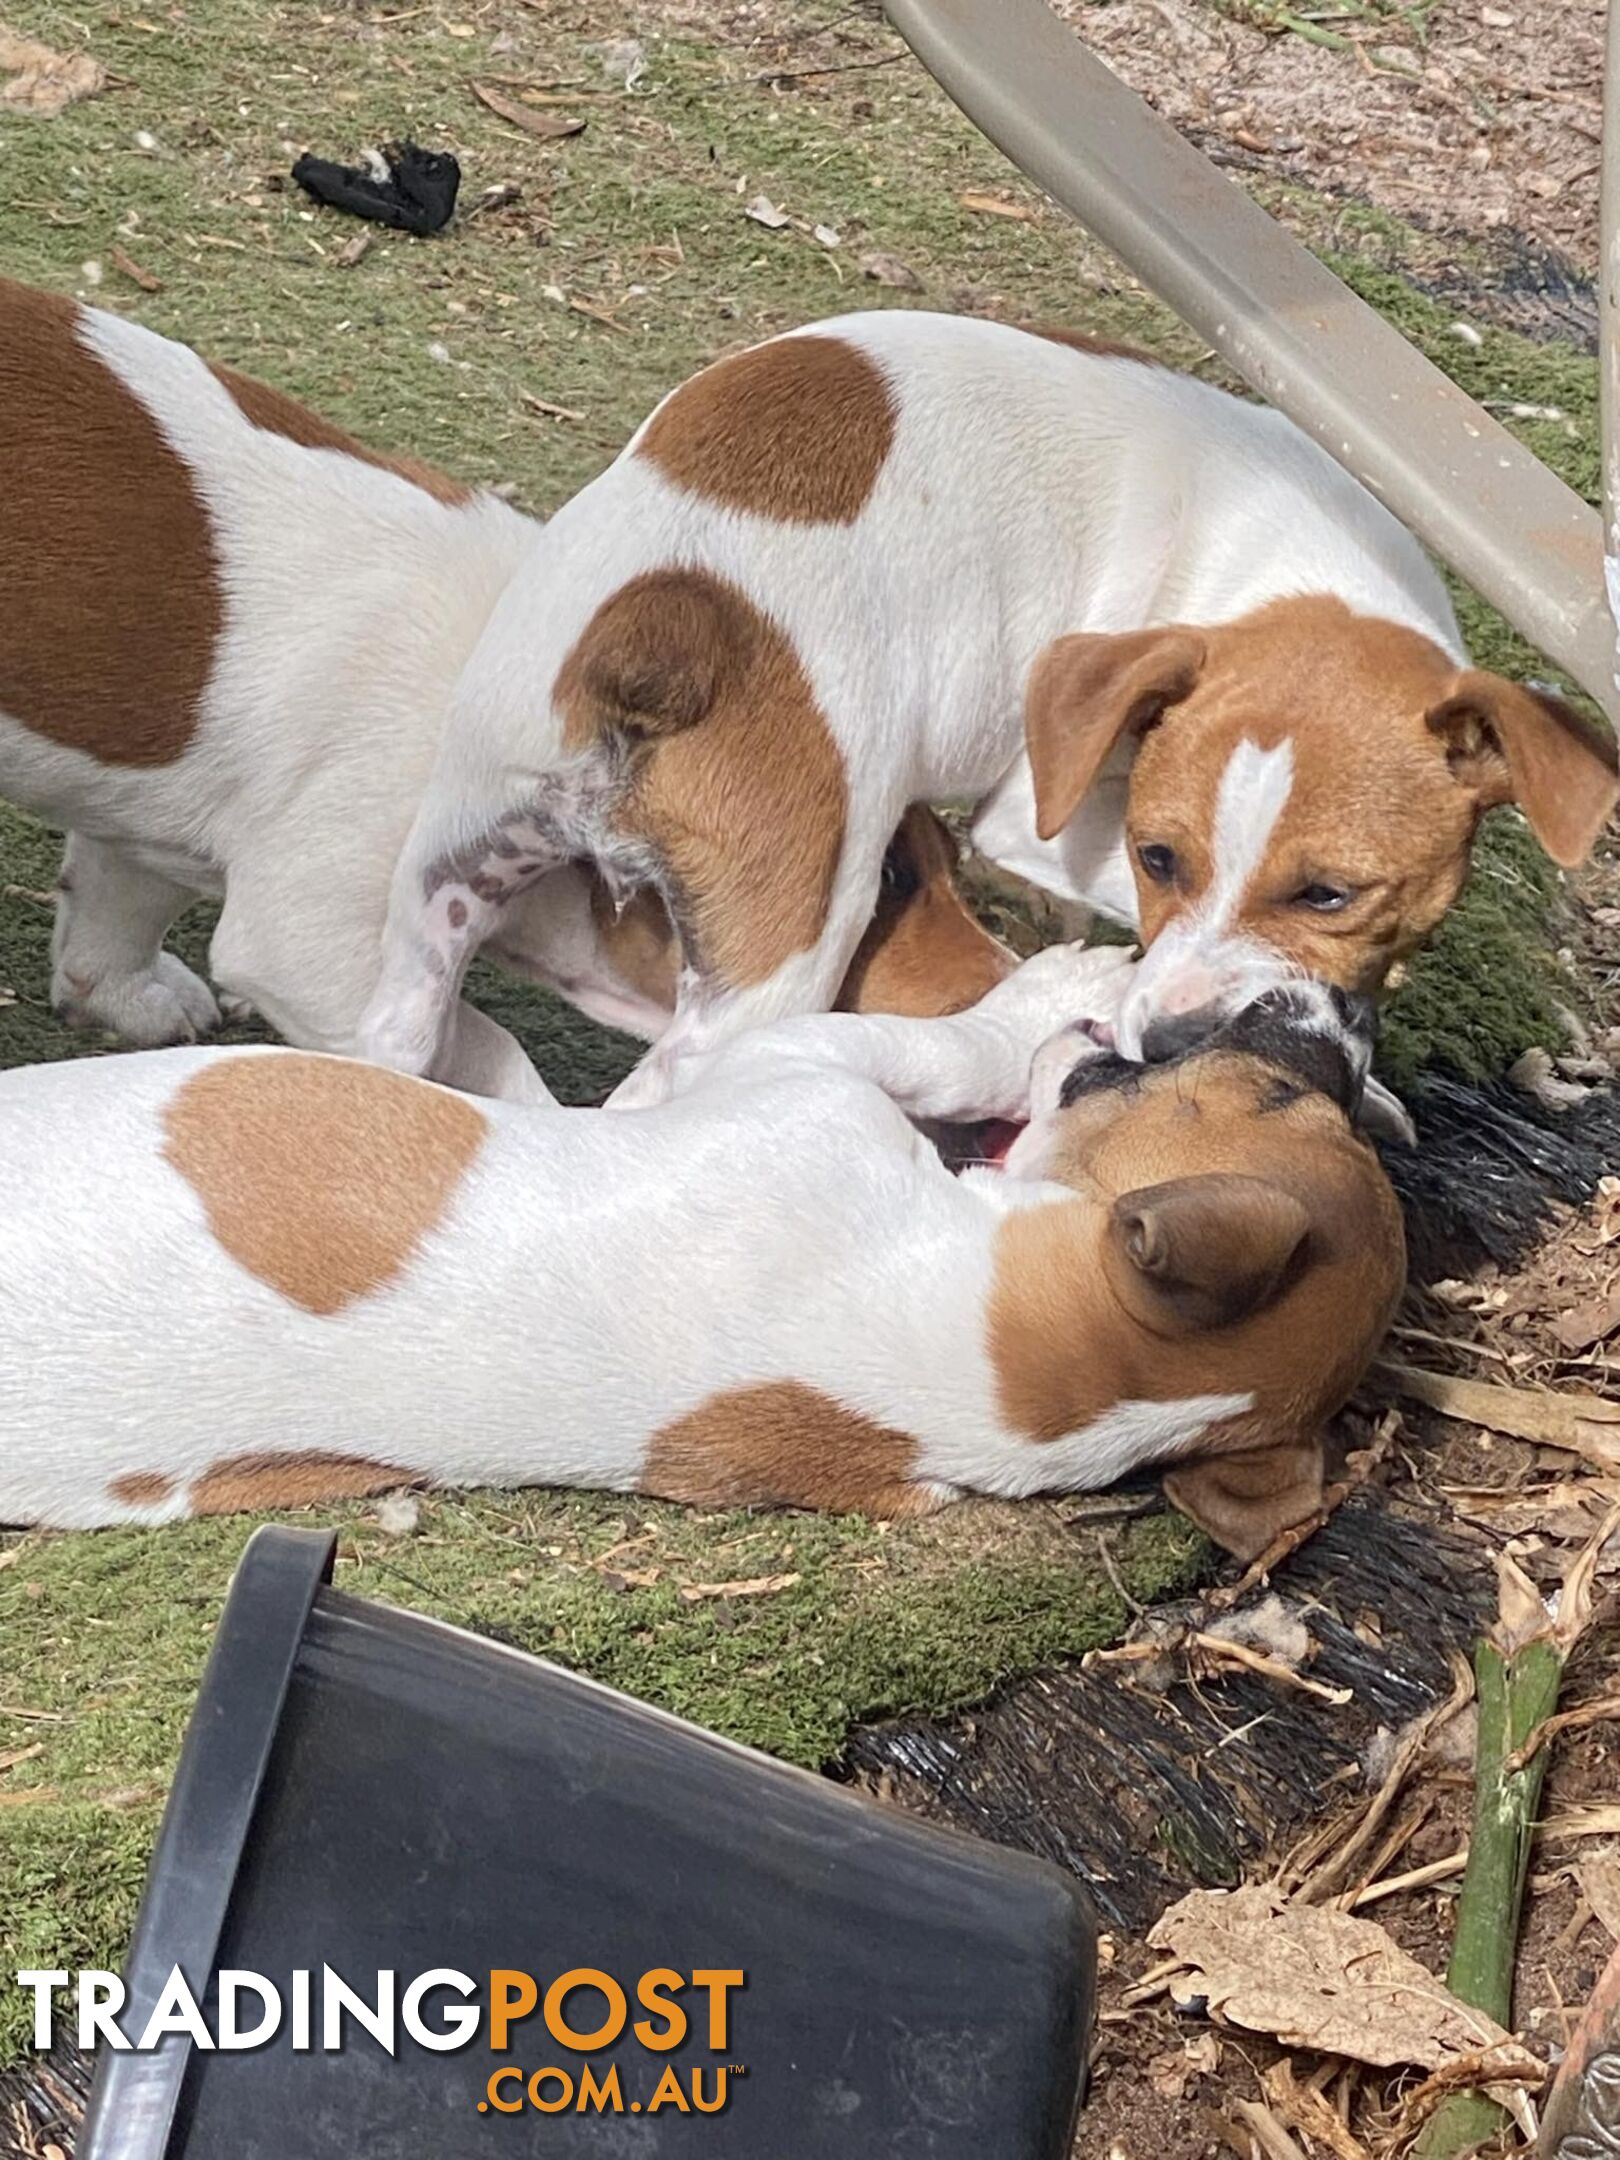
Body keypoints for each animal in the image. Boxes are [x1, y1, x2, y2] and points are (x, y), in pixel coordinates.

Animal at [0, 285, 1015, 1088]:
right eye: (888, 880)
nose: (1012, 981)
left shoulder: (142, 830)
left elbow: (112, 908)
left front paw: (123, 995)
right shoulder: (313, 945)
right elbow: (484, 1057)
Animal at [365, 308, 1620, 1097]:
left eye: (1328, 892)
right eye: (1160, 859)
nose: (1168, 1037)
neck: (1293, 571)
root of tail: (674, 617)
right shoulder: (1039, 817)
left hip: (444, 885)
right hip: (782, 953)